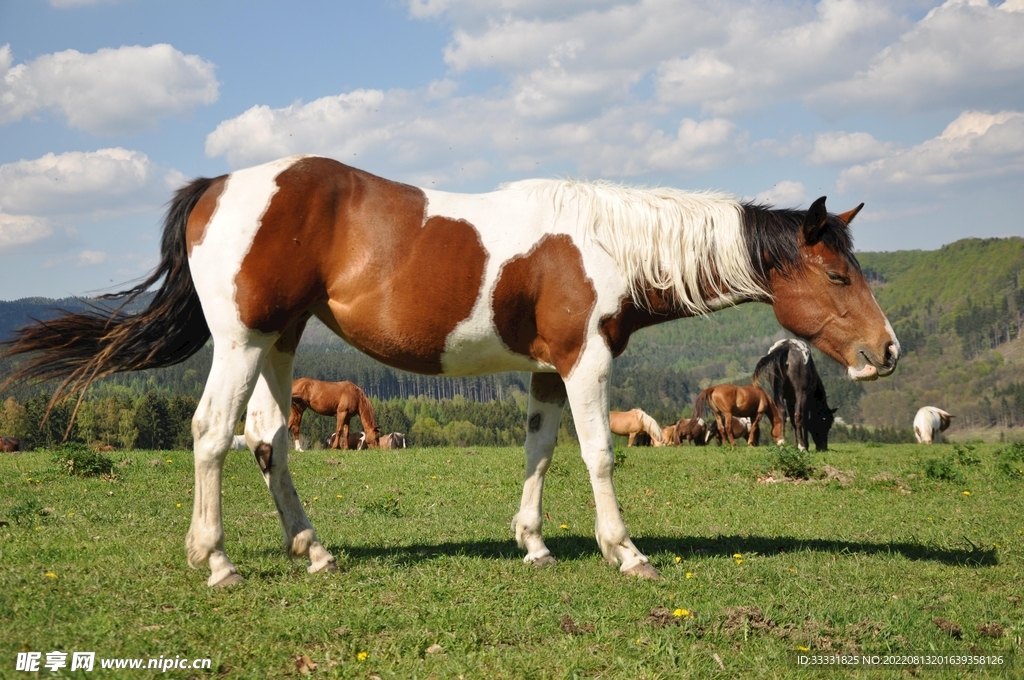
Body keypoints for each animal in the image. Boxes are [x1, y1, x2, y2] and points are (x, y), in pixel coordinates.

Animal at [0, 155, 897, 586]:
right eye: (837, 275)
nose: (886, 351)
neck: (605, 243)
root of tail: (219, 185)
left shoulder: (545, 373)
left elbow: (540, 453)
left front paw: (533, 545)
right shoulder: (585, 364)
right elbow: (599, 456)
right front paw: (626, 553)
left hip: (278, 343)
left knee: (270, 442)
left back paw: (313, 550)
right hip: (242, 340)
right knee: (213, 433)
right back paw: (216, 561)